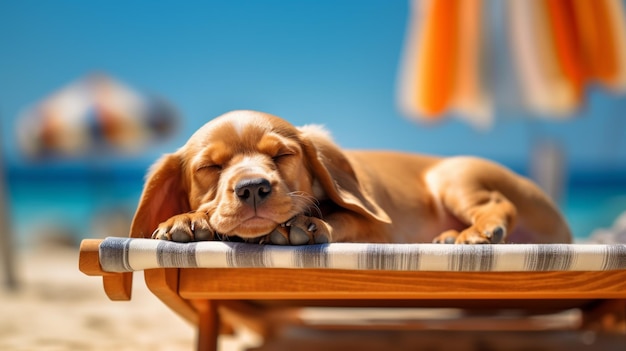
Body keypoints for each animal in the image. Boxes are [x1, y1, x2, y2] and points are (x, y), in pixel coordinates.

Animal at [132, 110, 572, 245]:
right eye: (210, 167)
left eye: (283, 155)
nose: (253, 187)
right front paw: (187, 220)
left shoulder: (381, 231)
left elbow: (341, 217)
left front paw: (306, 225)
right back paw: (450, 235)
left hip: (456, 174)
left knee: (499, 204)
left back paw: (477, 232)